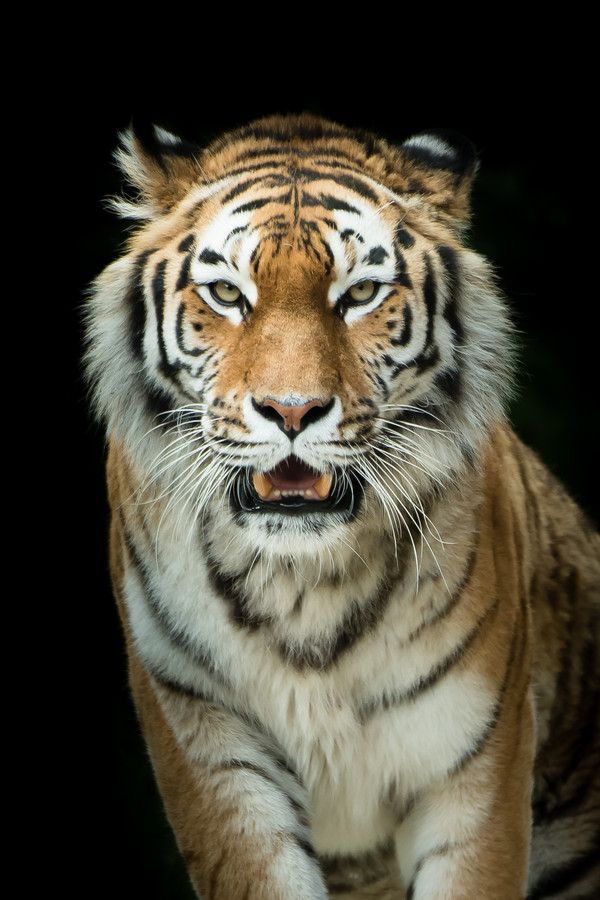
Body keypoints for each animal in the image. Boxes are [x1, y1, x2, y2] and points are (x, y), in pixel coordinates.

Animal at [85, 116, 600, 896]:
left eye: (358, 294)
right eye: (226, 292)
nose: (292, 410)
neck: (304, 579)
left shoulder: (472, 763)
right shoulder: (211, 749)